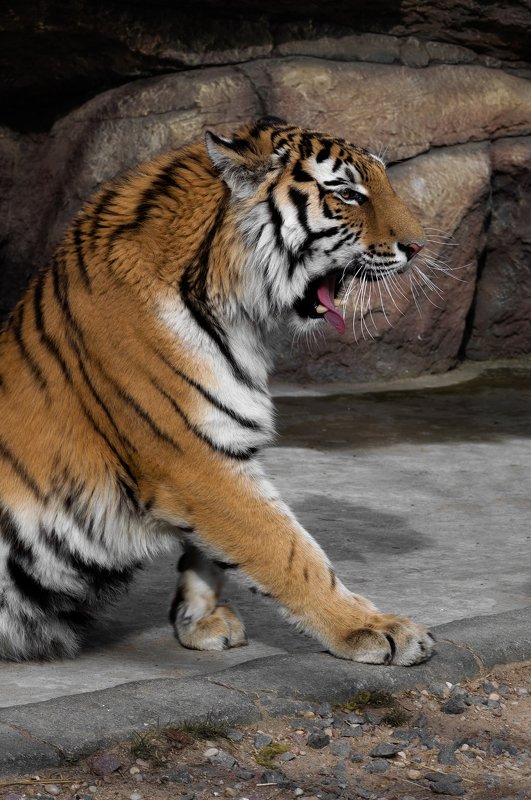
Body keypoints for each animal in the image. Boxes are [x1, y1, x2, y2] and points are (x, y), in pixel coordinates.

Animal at [0, 116, 434, 665]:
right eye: (349, 194)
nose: (419, 247)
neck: (235, 311)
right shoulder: (190, 457)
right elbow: (287, 549)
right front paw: (374, 629)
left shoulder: (215, 451)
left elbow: (208, 556)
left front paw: (199, 622)